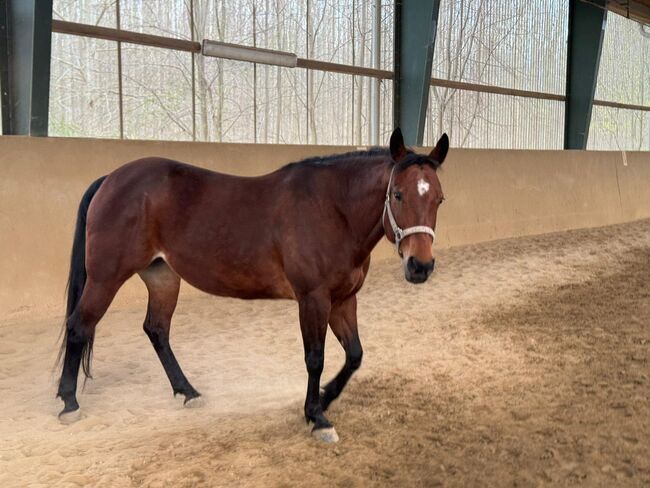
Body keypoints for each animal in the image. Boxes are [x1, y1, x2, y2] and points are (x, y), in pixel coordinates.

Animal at [57, 127, 446, 440]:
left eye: (439, 198)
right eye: (397, 194)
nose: (420, 266)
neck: (332, 210)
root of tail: (111, 179)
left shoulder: (343, 299)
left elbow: (354, 355)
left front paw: (324, 399)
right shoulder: (313, 299)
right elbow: (315, 358)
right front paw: (316, 417)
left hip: (162, 277)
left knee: (156, 329)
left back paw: (187, 392)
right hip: (106, 277)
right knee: (79, 326)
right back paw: (68, 402)